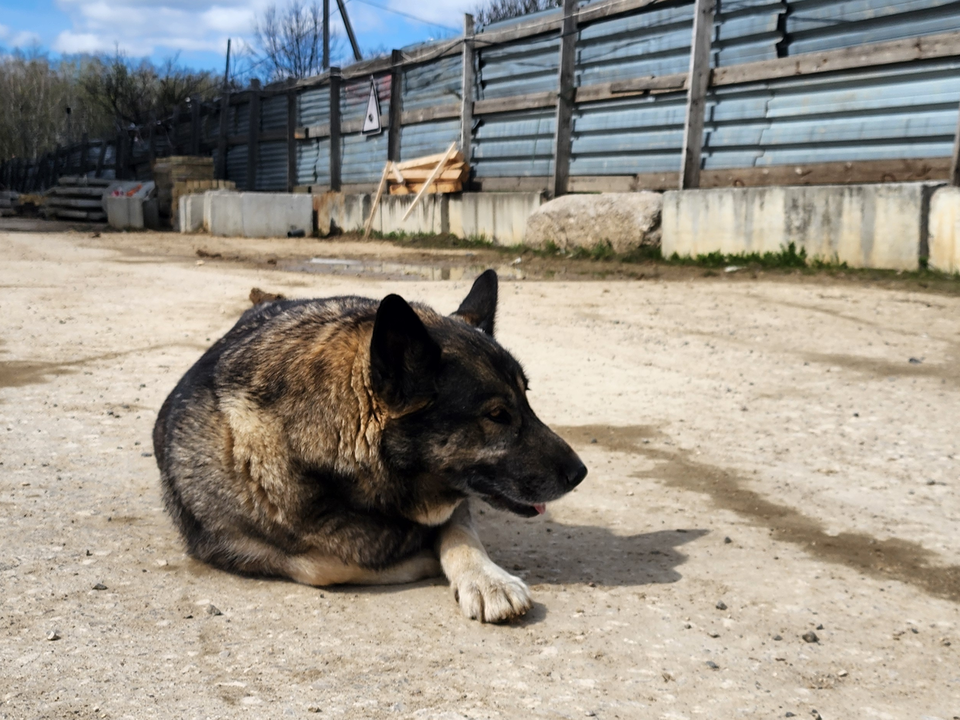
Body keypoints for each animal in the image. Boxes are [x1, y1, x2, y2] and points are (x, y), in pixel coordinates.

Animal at [152, 270, 584, 620]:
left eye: (526, 398)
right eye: (497, 415)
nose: (580, 473)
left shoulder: (451, 501)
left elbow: (459, 529)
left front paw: (485, 577)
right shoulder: (250, 547)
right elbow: (329, 567)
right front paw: (424, 555)